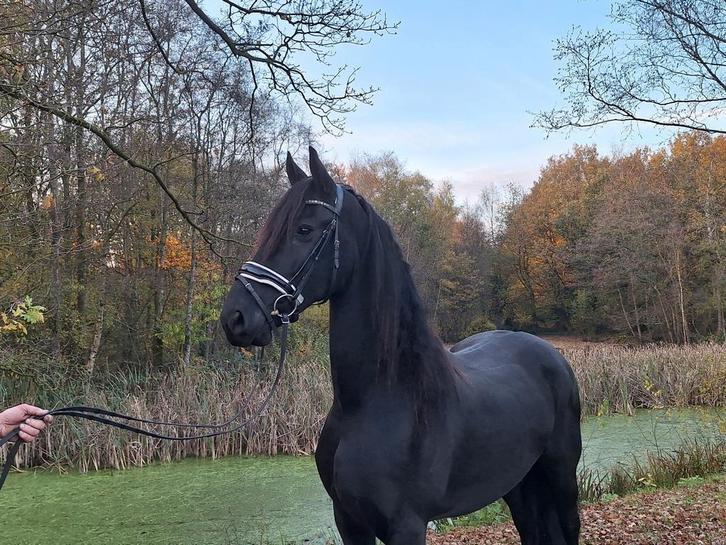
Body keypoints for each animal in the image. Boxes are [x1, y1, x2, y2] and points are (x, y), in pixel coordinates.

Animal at [220, 147, 582, 545]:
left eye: (304, 229)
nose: (236, 317)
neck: (378, 400)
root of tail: (549, 352)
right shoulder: (349, 521)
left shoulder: (407, 525)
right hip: (517, 484)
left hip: (562, 477)